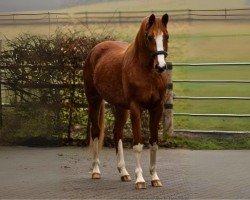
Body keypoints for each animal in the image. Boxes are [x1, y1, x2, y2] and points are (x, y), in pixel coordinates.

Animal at [84, 14, 170, 189]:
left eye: (166, 36)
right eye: (149, 37)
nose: (161, 66)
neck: (148, 73)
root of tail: (95, 50)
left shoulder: (157, 108)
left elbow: (154, 143)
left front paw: (155, 178)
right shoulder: (136, 108)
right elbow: (138, 145)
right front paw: (140, 179)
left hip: (120, 107)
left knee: (117, 133)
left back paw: (124, 173)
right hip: (94, 100)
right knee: (95, 131)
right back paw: (96, 171)